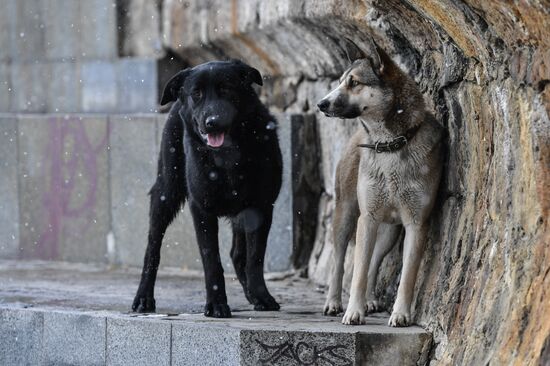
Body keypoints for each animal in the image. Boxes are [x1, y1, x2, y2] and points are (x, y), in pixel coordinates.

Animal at [132, 60, 282, 318]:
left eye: (227, 90)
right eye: (197, 94)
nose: (212, 122)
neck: (228, 156)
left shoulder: (260, 207)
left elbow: (255, 257)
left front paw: (261, 296)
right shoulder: (201, 210)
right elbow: (211, 259)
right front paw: (216, 304)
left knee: (238, 255)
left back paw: (252, 294)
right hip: (165, 193)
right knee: (152, 248)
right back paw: (143, 297)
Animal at [320, 40, 444, 326]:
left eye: (354, 83)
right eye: (340, 81)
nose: (321, 104)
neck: (389, 144)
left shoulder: (416, 223)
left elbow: (407, 275)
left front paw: (400, 313)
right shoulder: (367, 218)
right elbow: (357, 272)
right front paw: (353, 311)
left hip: (389, 231)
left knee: (375, 259)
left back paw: (370, 300)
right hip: (346, 214)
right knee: (339, 259)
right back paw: (334, 302)